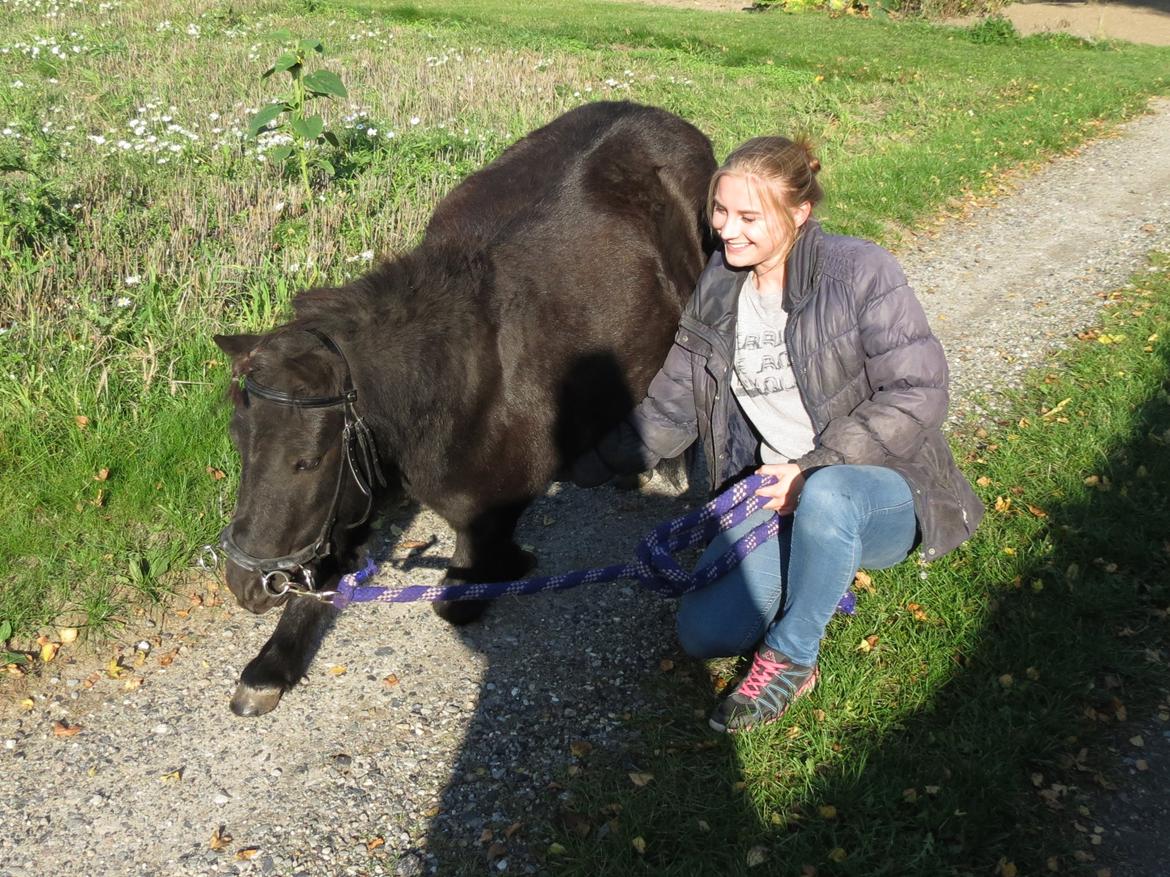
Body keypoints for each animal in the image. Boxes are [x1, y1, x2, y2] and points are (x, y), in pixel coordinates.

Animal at [215, 102, 716, 715]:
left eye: (305, 462)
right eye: (239, 444)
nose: (246, 584)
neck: (457, 383)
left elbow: (457, 595)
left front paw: (510, 565)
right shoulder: (353, 488)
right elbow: (325, 572)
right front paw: (272, 663)